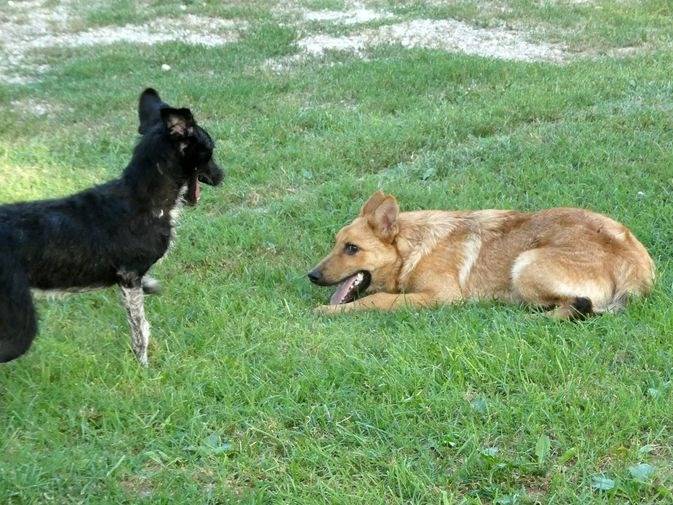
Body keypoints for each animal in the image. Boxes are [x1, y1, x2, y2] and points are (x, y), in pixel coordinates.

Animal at [0, 88, 223, 364]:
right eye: (210, 150)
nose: (222, 176)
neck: (145, 199)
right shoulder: (130, 278)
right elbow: (140, 330)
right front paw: (143, 367)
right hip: (19, 327)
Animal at [308, 191, 652, 316]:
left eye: (352, 248)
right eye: (336, 243)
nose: (311, 276)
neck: (413, 249)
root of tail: (635, 263)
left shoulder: (442, 296)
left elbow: (378, 300)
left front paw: (327, 311)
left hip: (524, 265)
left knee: (580, 305)